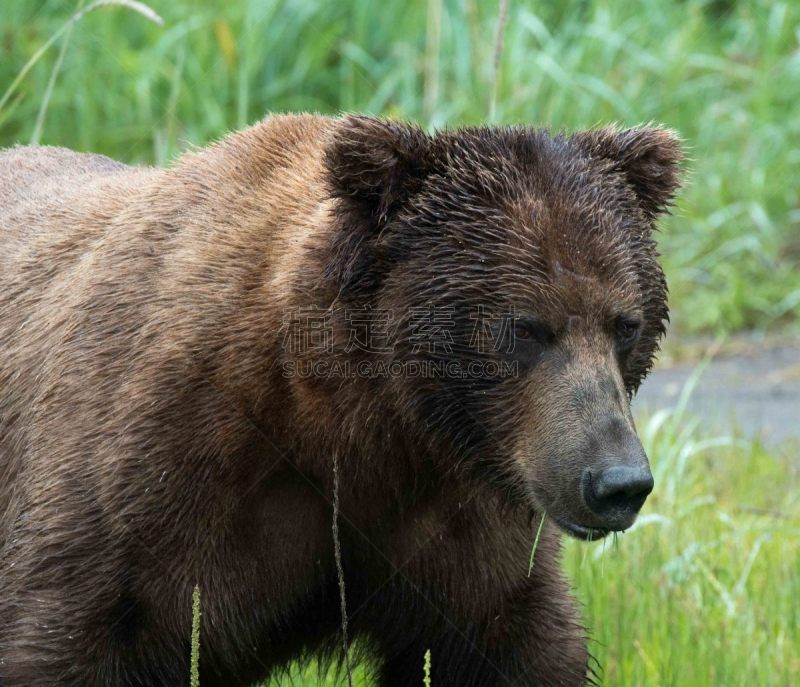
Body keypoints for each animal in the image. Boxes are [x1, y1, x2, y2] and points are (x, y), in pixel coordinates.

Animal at [0, 115, 680, 684]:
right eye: (525, 327)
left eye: (626, 323)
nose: (617, 481)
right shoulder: (153, 483)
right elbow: (71, 636)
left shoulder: (455, 520)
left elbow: (512, 641)